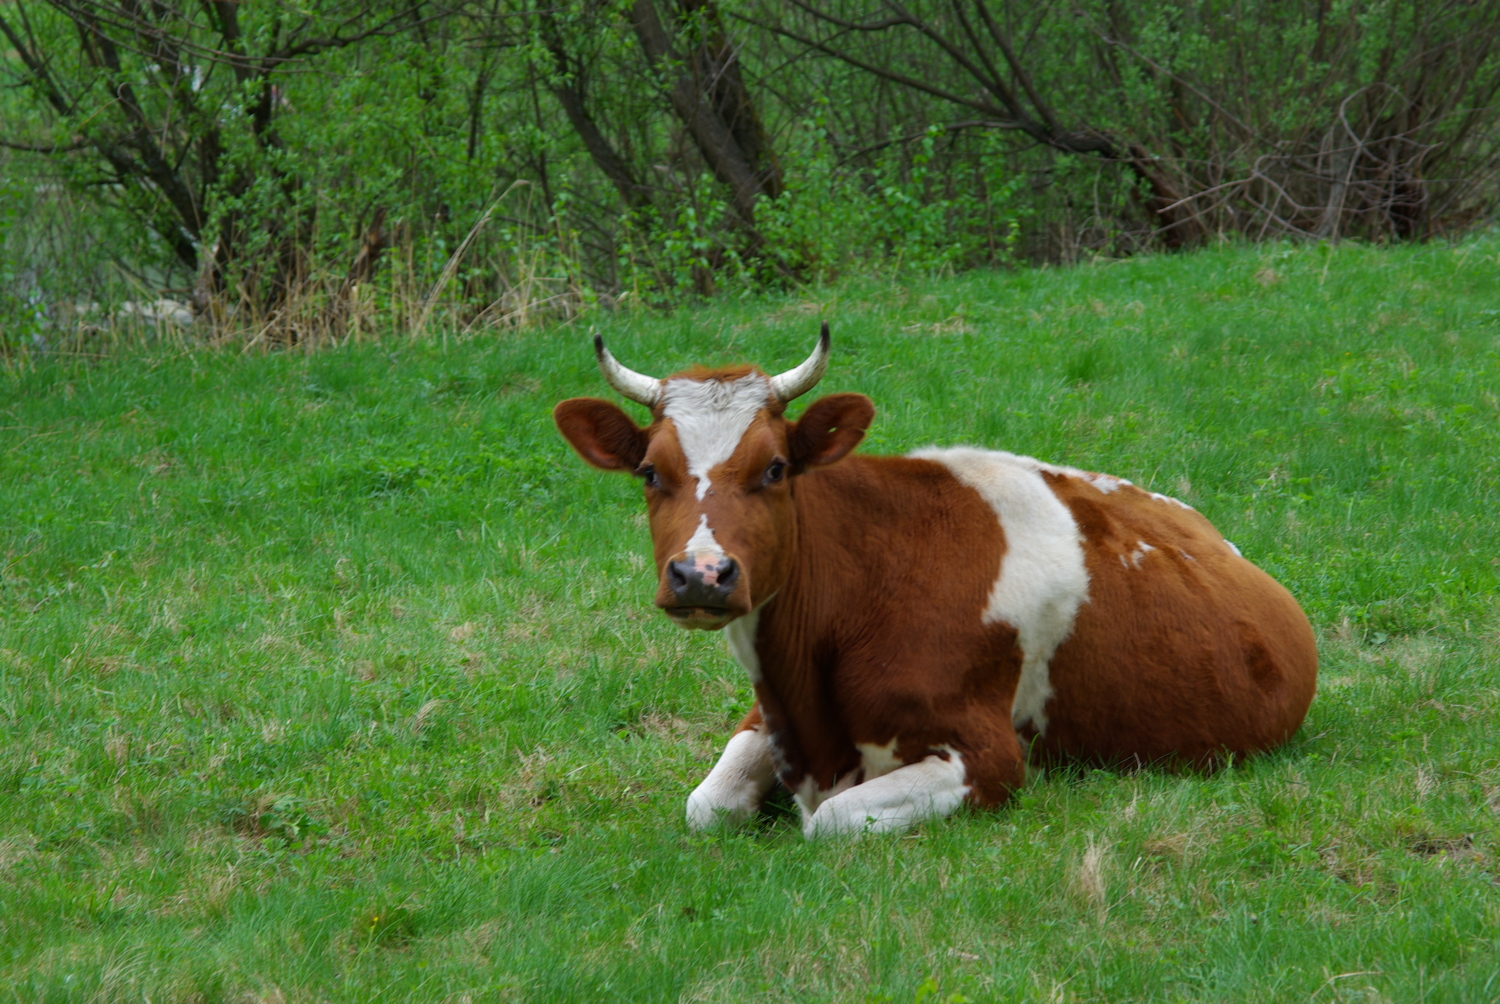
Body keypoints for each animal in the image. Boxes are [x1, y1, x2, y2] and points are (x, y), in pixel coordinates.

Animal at [552, 327, 1314, 840]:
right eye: (649, 472)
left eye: (774, 468)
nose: (702, 575)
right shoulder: (766, 716)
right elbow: (706, 806)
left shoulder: (988, 756)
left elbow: (831, 821)